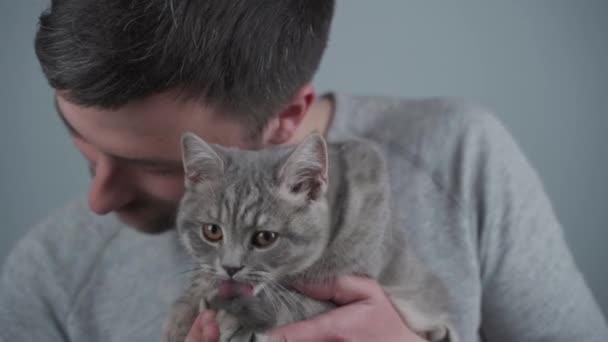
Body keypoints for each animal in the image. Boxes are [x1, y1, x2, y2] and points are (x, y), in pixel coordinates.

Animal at [162, 132, 456, 340]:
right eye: (212, 231)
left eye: (265, 237)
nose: (230, 268)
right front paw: (183, 313)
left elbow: (299, 305)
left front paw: (236, 316)